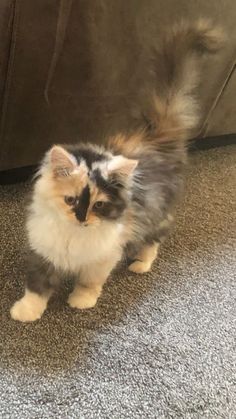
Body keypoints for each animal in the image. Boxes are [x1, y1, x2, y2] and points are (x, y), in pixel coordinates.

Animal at [10, 20, 222, 322]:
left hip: (156, 215)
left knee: (154, 240)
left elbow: (90, 282)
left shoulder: (104, 255)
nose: (81, 219)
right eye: (71, 200)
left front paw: (81, 301)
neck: (74, 235)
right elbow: (37, 286)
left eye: (98, 205)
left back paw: (141, 264)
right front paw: (26, 311)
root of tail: (155, 137)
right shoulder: (46, 251)